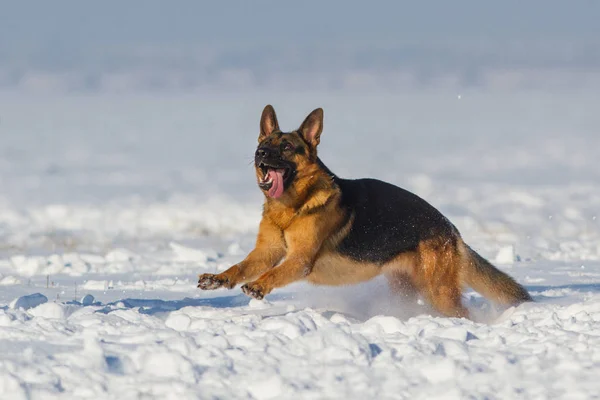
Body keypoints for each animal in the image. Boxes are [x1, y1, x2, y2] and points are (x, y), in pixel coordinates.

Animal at [199, 104, 532, 318]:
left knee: (462, 312)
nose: (260, 154)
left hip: (438, 291)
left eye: (286, 148)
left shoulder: (299, 259)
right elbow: (240, 266)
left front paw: (258, 286)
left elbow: (274, 272)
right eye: (265, 143)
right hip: (407, 288)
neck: (292, 207)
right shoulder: (266, 251)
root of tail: (452, 231)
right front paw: (218, 278)